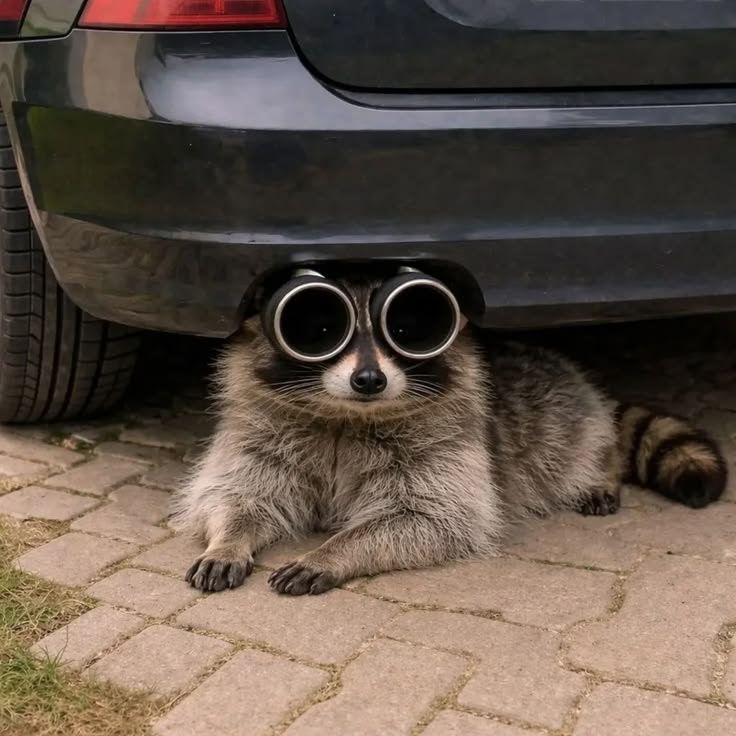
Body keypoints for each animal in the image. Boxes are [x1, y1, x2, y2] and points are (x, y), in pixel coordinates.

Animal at [171, 278, 727, 595]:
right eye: (319, 331)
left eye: (407, 329)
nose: (368, 380)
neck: (345, 416)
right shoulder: (260, 438)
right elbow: (240, 496)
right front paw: (228, 538)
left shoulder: (449, 451)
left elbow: (432, 518)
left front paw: (333, 551)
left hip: (562, 413)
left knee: (579, 444)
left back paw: (599, 472)